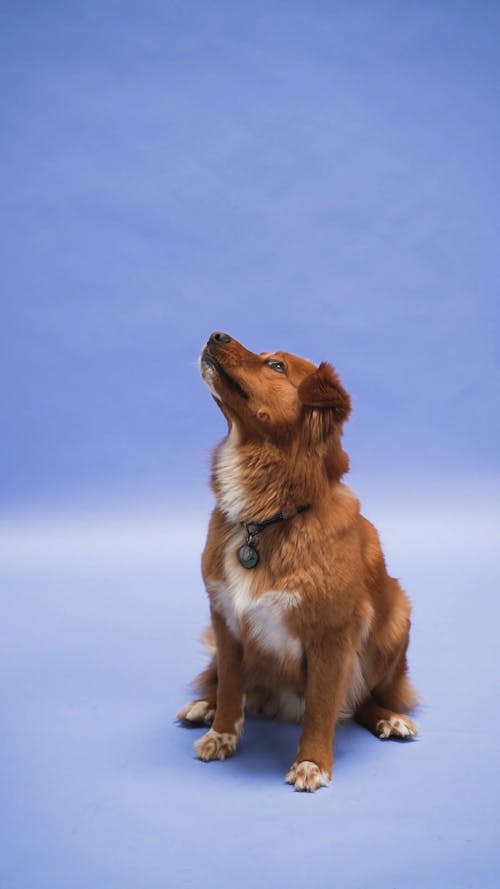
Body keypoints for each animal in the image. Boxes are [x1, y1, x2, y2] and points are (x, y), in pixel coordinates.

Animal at [178, 332, 420, 792]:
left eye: (276, 366)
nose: (216, 334)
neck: (267, 518)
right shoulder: (225, 619)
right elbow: (231, 687)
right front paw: (221, 732)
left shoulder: (331, 635)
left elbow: (323, 706)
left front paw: (312, 762)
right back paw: (202, 705)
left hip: (397, 615)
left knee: (363, 698)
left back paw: (388, 720)